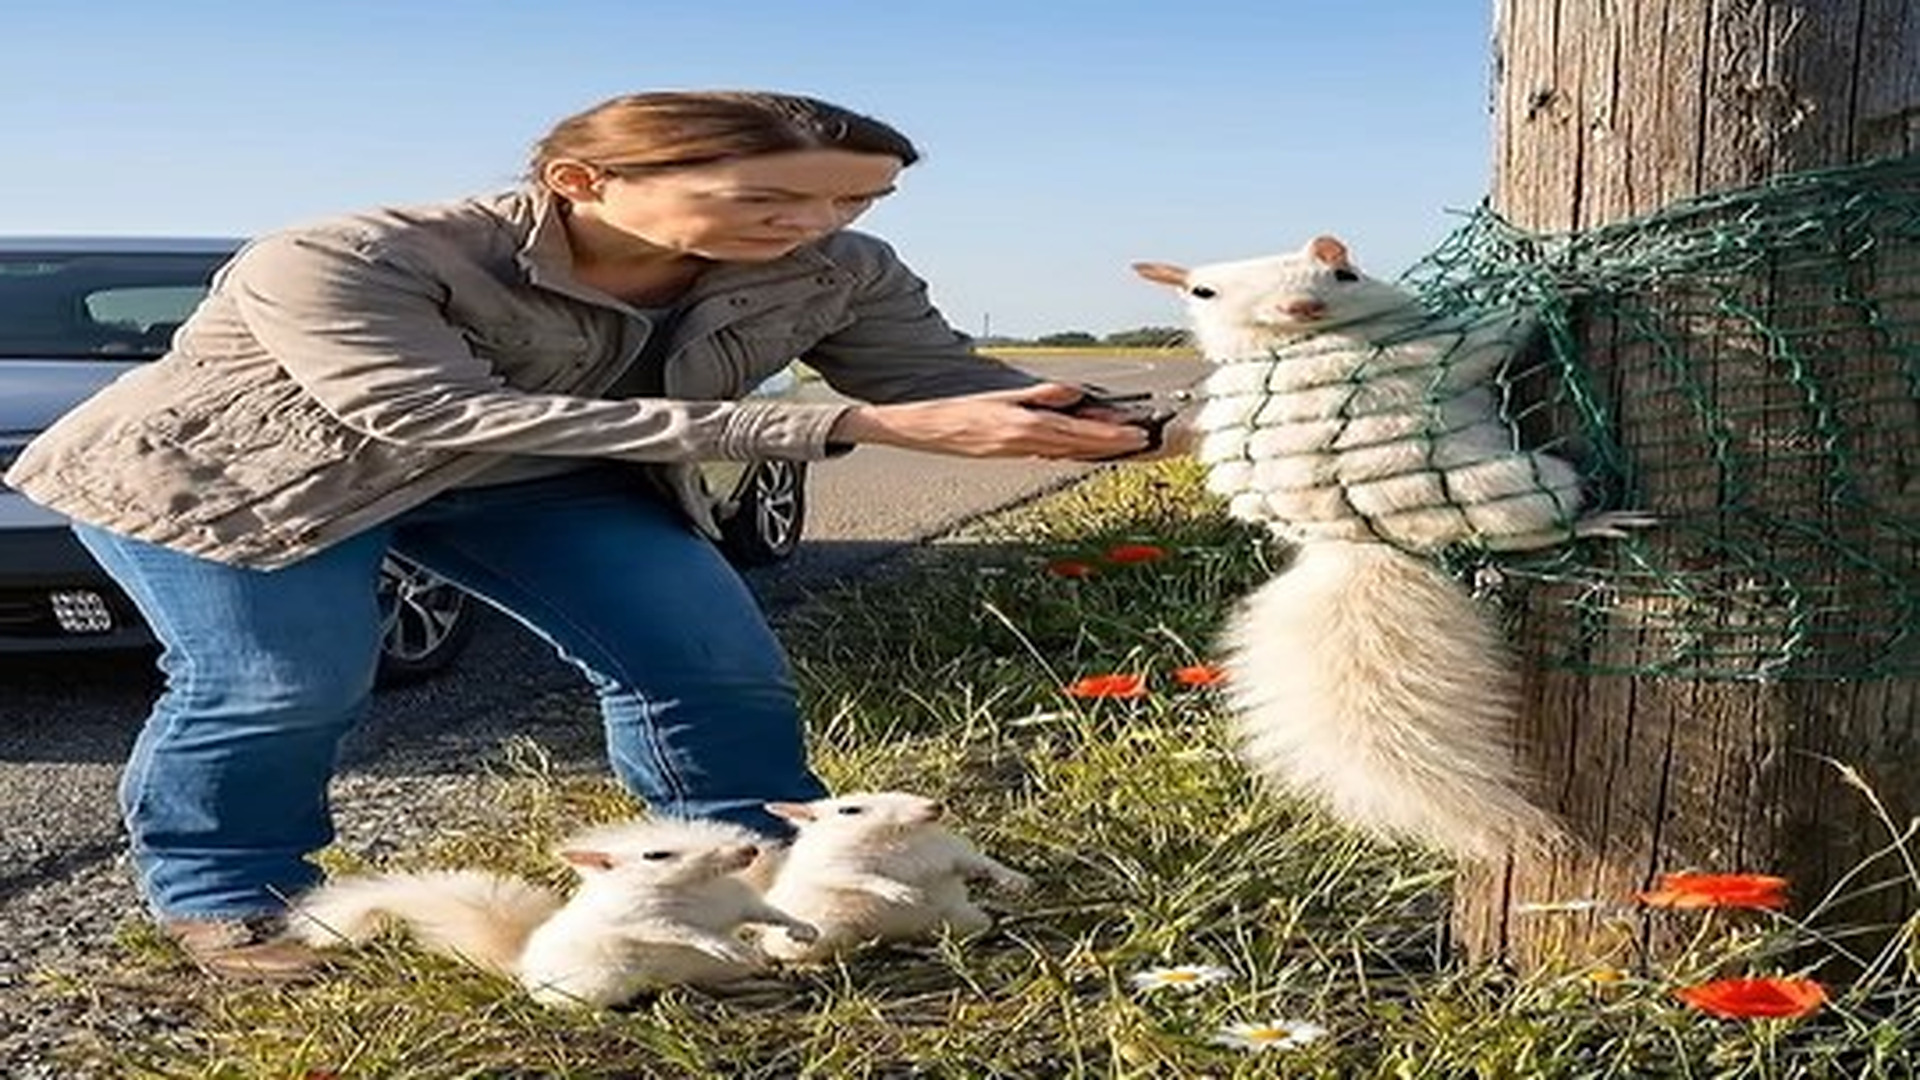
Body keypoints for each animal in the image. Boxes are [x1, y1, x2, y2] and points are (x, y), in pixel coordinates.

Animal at [290, 816, 819, 1008]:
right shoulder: (639, 920)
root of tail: (521, 966)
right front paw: (721, 942)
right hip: (606, 982)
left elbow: (768, 910)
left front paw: (804, 930)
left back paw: (763, 982)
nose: (747, 852)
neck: (699, 893)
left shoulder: (740, 900)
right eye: (656, 855)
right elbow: (675, 930)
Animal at [751, 791, 1032, 963]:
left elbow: (980, 862)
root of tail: (897, 932)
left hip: (962, 918)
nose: (935, 806)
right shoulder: (832, 867)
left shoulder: (951, 852)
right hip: (823, 933)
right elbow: (862, 878)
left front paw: (1017, 879)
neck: (895, 837)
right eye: (849, 810)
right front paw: (904, 892)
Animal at [1133, 235, 1652, 860]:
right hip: (1522, 483)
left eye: (1344, 273)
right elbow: (1490, 334)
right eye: (1202, 291)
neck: (1283, 343)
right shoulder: (1419, 349)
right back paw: (1597, 521)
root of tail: (1370, 542)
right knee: (1532, 527)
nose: (1301, 305)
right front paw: (1549, 283)